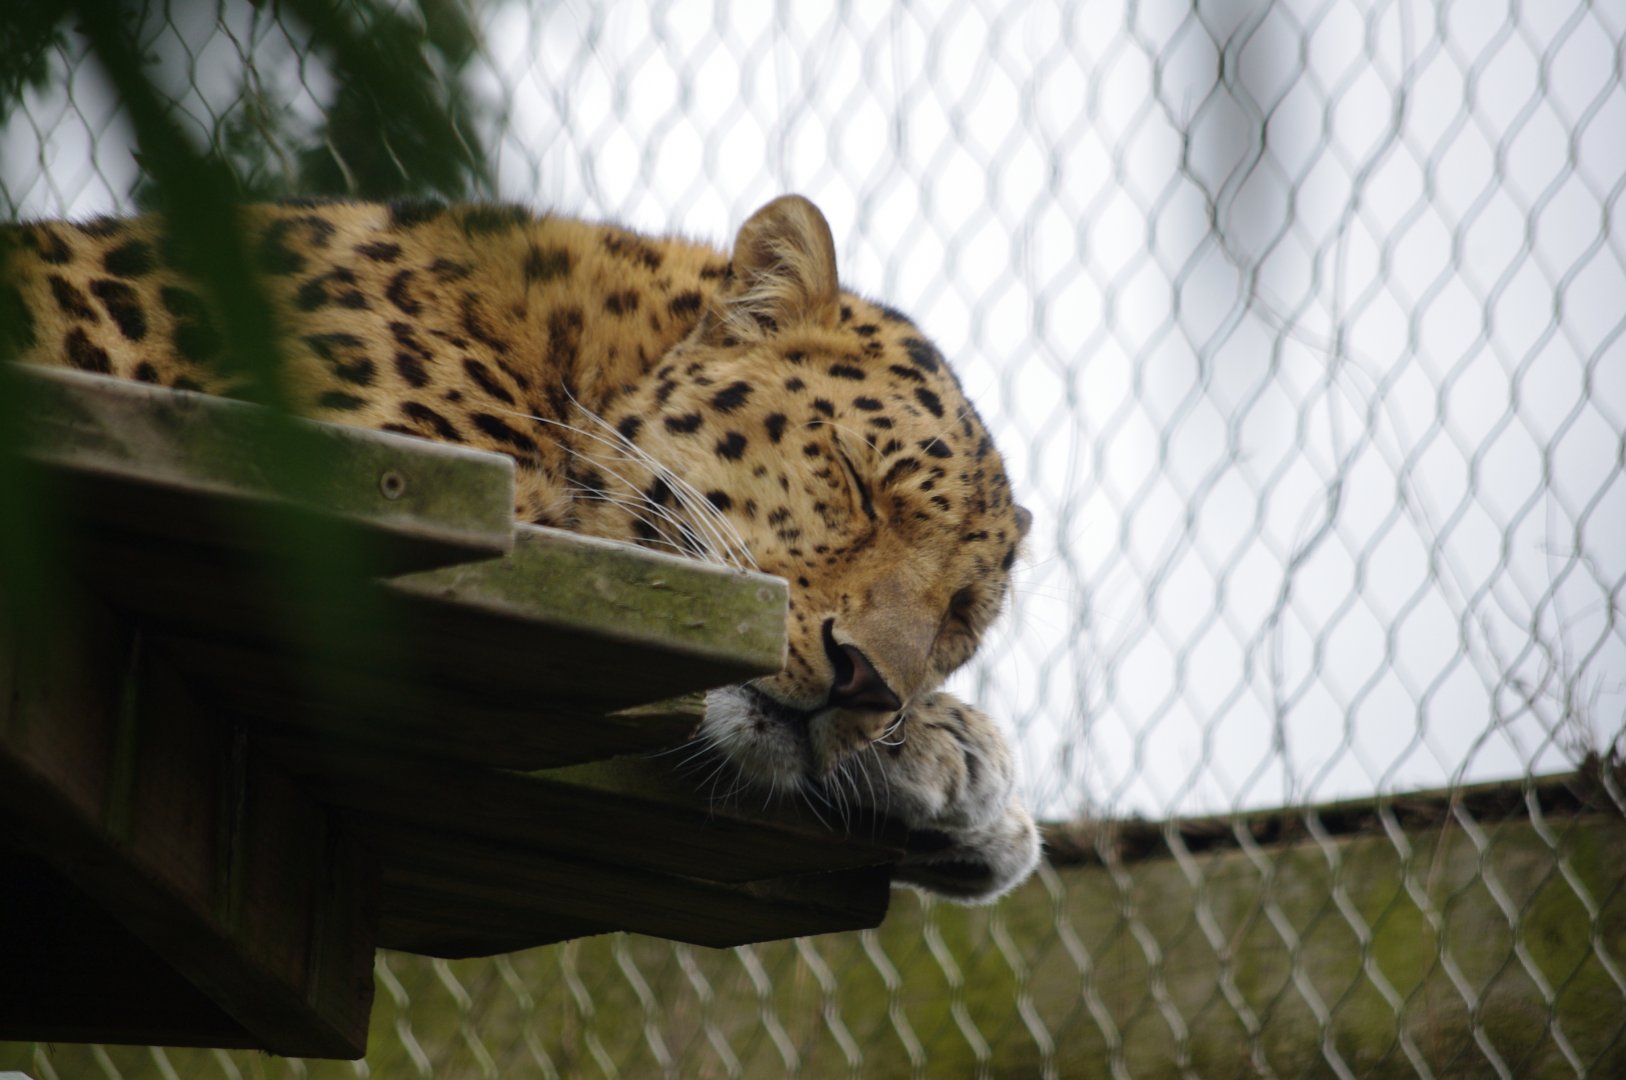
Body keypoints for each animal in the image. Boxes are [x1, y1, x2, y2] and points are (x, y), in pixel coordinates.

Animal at [1, 194, 1040, 902]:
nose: (868, 682)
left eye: (959, 616)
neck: (570, 350)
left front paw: (974, 804)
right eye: (857, 481)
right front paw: (962, 752)